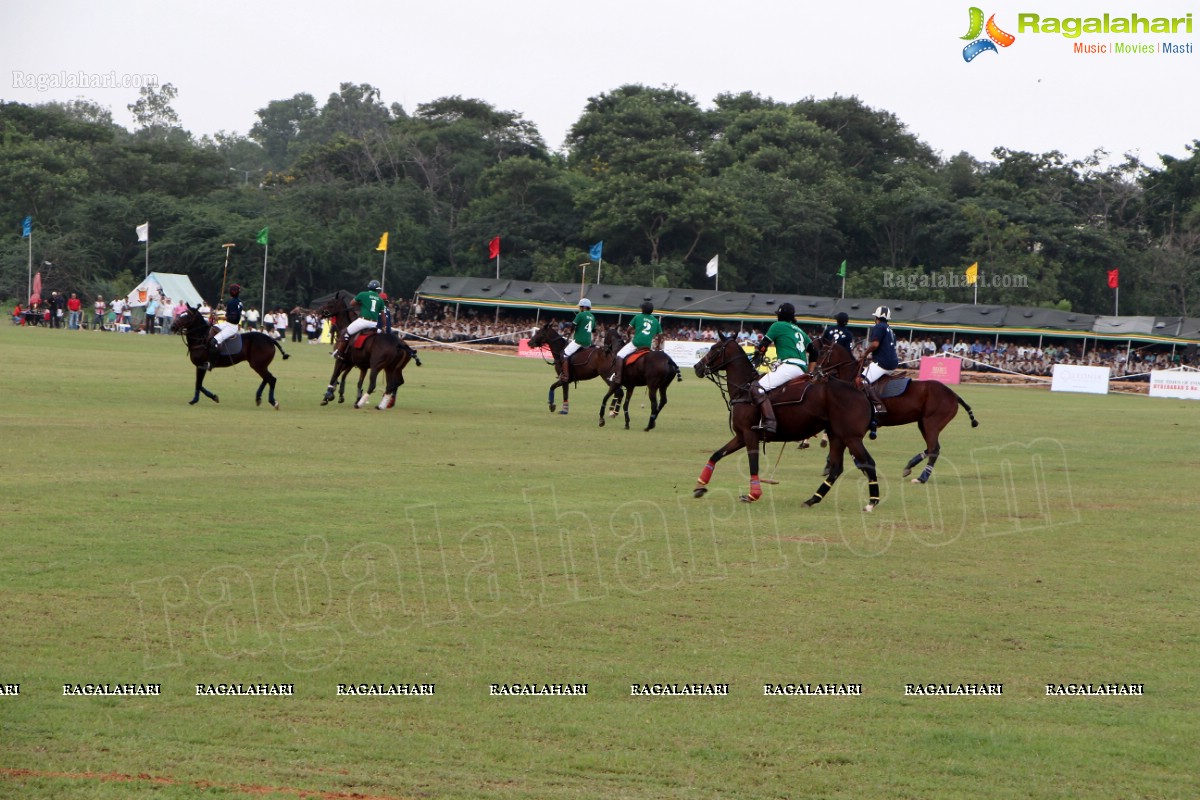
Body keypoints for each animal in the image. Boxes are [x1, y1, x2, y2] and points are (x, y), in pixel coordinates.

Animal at [691, 335, 878, 510]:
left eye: (714, 348)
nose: (697, 367)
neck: (744, 389)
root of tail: (862, 393)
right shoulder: (741, 436)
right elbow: (716, 454)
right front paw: (700, 486)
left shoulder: (750, 434)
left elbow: (753, 464)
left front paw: (753, 495)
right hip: (837, 435)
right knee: (836, 468)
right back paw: (812, 499)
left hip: (851, 437)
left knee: (867, 462)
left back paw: (872, 502)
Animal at [811, 335, 979, 484]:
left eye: (822, 353)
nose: (814, 373)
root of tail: (954, 394)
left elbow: (851, 448)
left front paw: (846, 466)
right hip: (923, 423)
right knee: (932, 448)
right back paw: (909, 466)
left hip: (932, 422)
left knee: (933, 449)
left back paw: (921, 478)